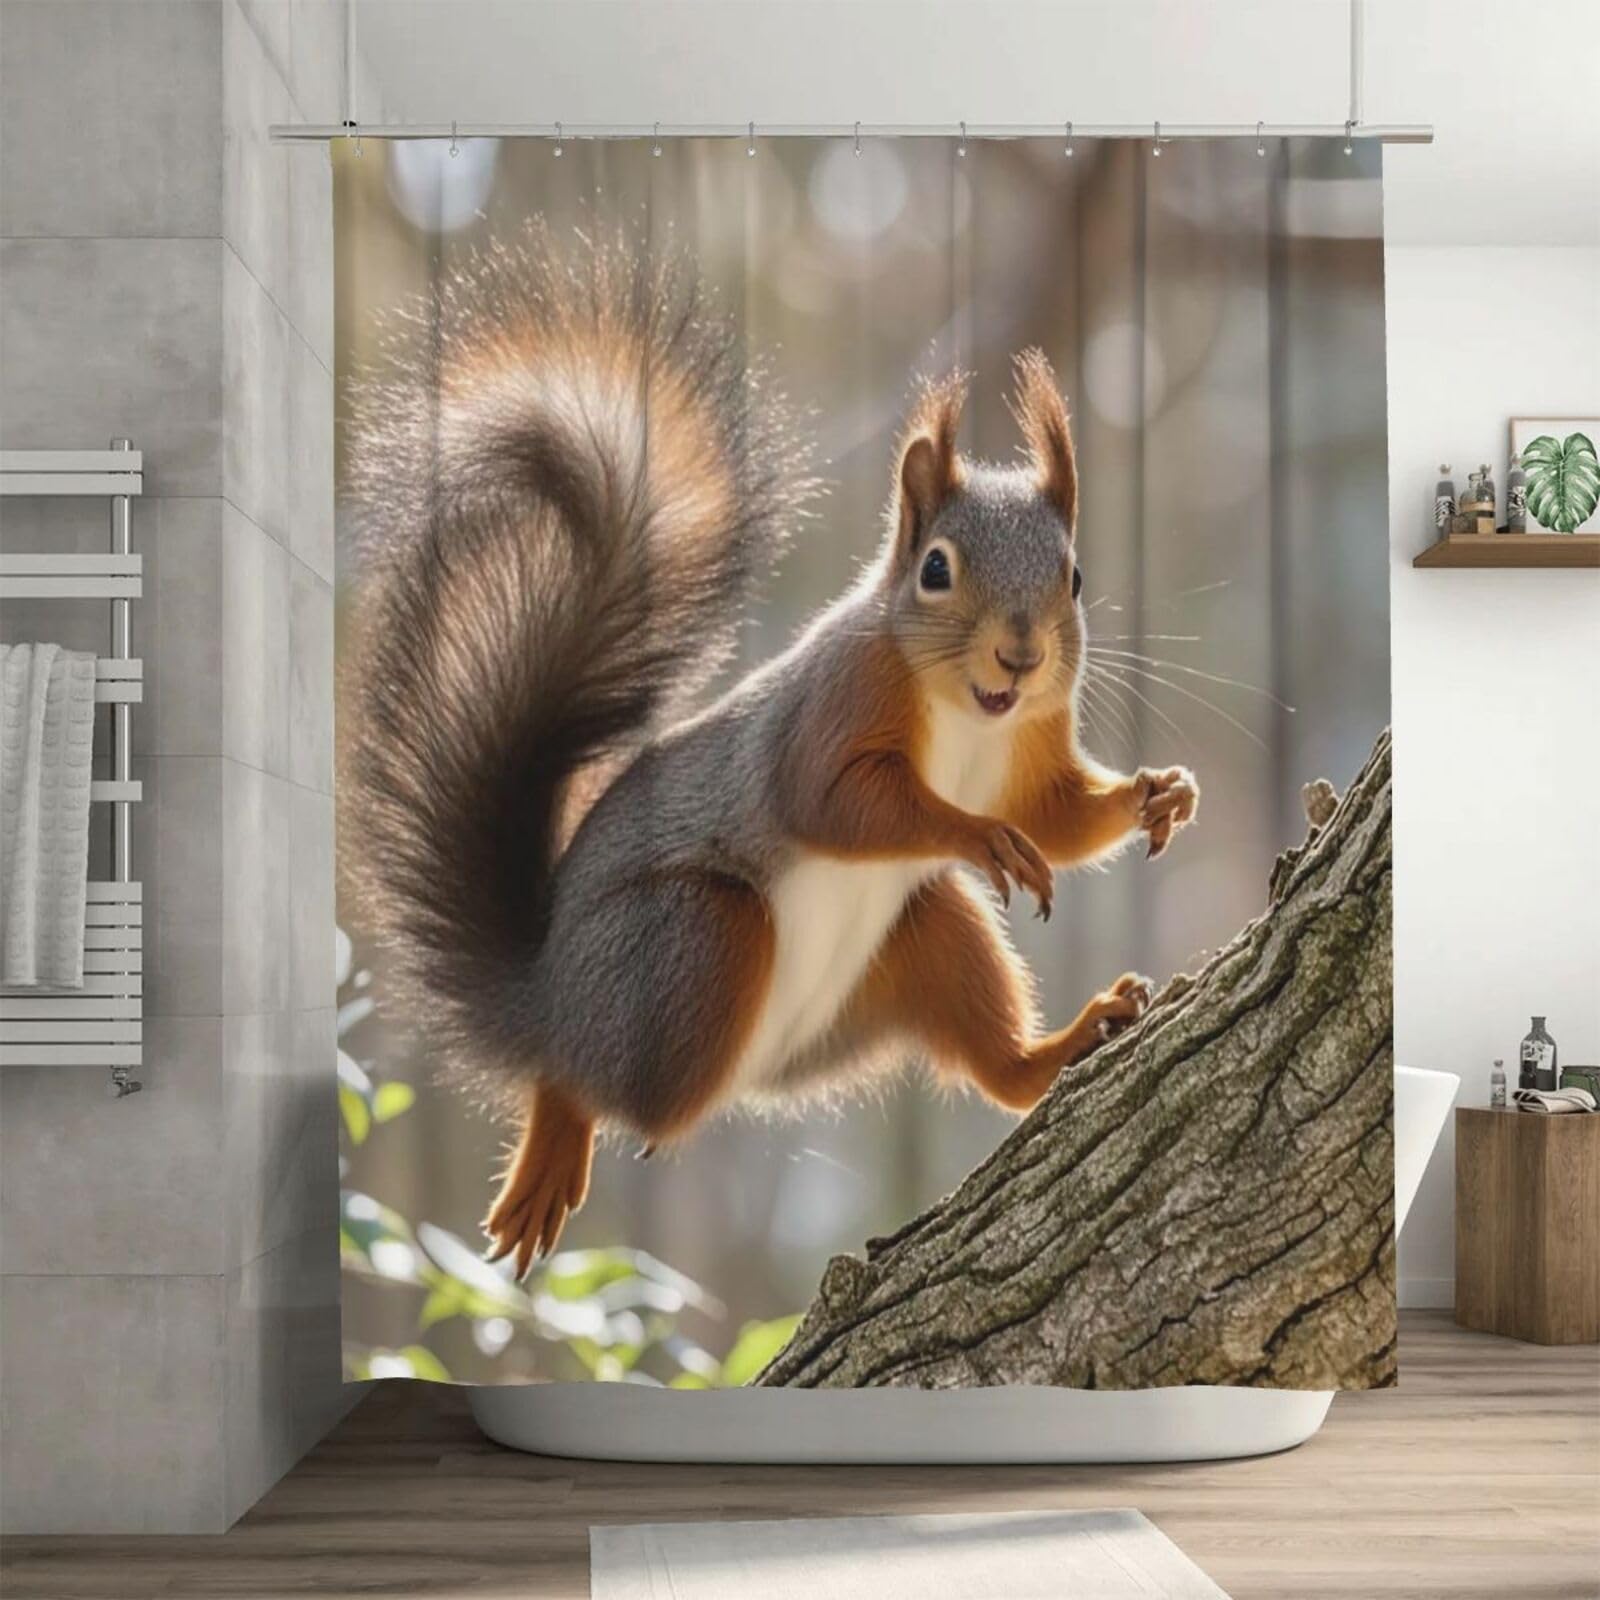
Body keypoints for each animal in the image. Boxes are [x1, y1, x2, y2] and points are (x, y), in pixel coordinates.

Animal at [341, 222, 1200, 1277]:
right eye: (936, 569)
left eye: (1074, 577)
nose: (1021, 652)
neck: (970, 716)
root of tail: (542, 996)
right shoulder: (830, 709)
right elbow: (833, 802)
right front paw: (978, 835)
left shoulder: (1034, 739)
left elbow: (1059, 814)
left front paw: (1156, 795)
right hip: (697, 940)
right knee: (601, 1084)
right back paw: (559, 1129)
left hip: (915, 941)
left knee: (992, 1063)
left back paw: (1061, 1047)